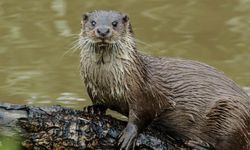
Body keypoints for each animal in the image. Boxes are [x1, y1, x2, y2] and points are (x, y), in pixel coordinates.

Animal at [78, 10, 250, 150]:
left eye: (114, 23)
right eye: (93, 22)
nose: (103, 30)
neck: (106, 82)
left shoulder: (142, 92)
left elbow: (141, 114)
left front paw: (128, 135)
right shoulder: (95, 89)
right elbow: (99, 102)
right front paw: (93, 108)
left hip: (233, 115)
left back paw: (200, 144)